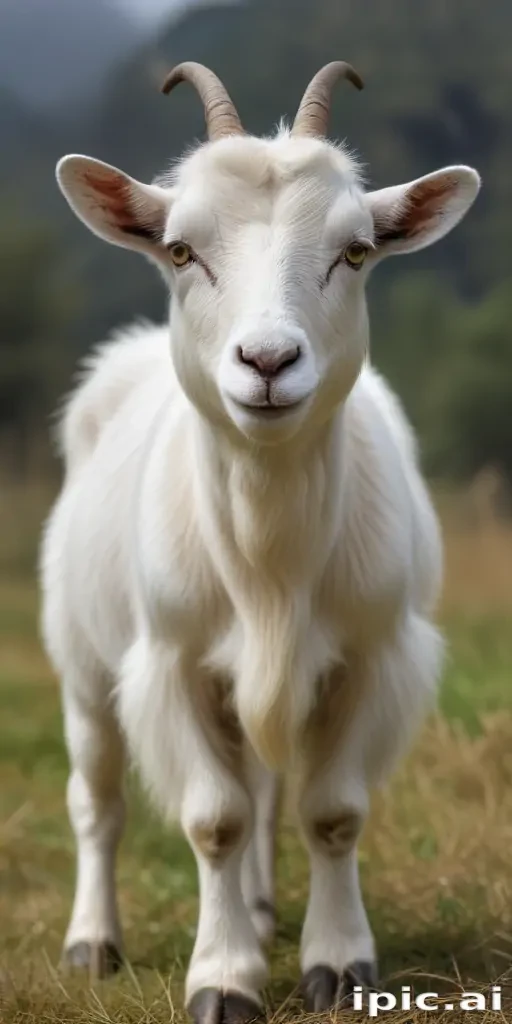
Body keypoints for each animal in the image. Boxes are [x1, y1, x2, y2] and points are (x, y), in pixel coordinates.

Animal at [40, 61, 480, 1022]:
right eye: (179, 251)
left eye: (356, 251)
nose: (268, 362)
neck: (270, 554)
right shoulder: (169, 661)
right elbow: (215, 819)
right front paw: (223, 977)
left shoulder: (371, 654)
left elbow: (330, 811)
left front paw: (338, 964)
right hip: (83, 661)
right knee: (97, 802)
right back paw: (93, 942)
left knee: (269, 792)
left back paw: (263, 908)